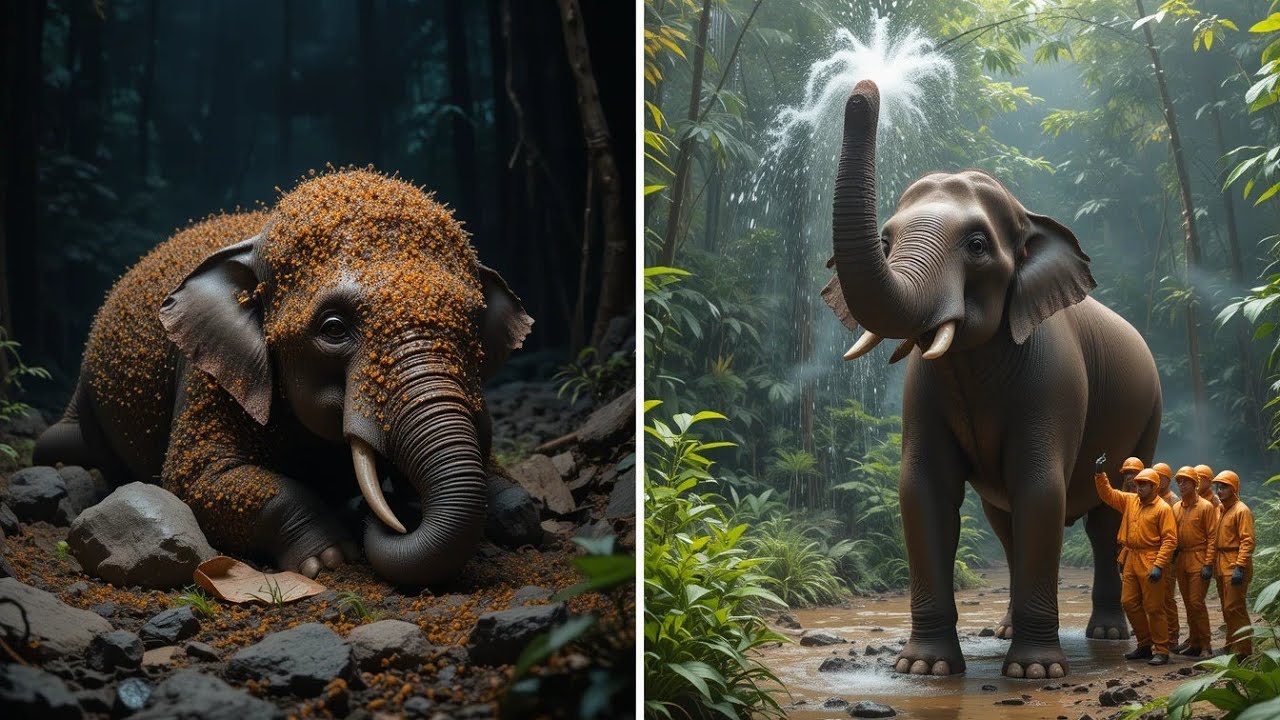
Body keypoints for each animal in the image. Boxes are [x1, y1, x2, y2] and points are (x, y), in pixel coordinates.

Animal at [33, 169, 533, 586]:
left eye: (472, 324)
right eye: (333, 328)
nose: (391, 515)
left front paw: (514, 509)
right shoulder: (207, 373)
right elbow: (196, 478)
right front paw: (331, 559)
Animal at [820, 80, 1162, 679]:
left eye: (977, 245)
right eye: (885, 242)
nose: (865, 88)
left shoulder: (1055, 380)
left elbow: (1040, 488)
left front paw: (1035, 672)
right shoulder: (923, 390)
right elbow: (923, 489)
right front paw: (924, 669)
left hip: (1150, 414)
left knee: (1105, 520)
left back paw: (1107, 634)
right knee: (1004, 524)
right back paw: (1004, 631)